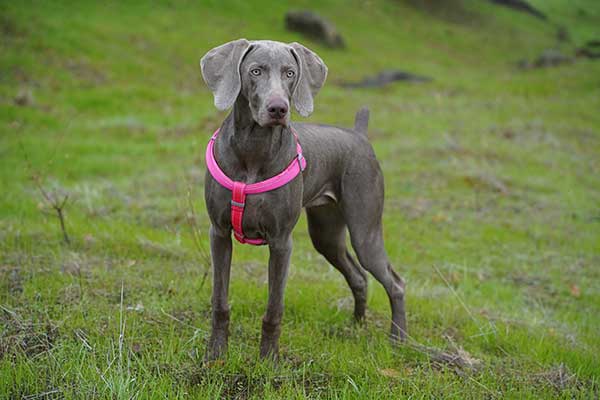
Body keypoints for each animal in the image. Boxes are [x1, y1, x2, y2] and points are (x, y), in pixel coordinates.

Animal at [202, 39, 408, 360]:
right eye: (255, 71)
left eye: (290, 73)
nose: (278, 108)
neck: (253, 149)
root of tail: (359, 135)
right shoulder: (219, 233)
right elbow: (219, 301)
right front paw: (216, 354)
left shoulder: (281, 242)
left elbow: (274, 309)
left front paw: (269, 360)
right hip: (326, 234)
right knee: (359, 277)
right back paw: (356, 326)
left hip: (365, 230)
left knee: (395, 283)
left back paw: (398, 340)